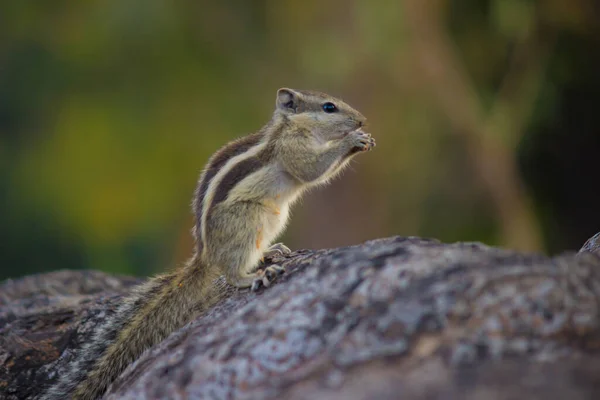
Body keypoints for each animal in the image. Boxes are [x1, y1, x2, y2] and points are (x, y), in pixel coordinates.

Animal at [39, 88, 376, 400]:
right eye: (329, 107)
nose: (362, 119)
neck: (290, 127)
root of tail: (206, 253)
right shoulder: (292, 149)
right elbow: (312, 170)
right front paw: (352, 140)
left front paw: (363, 138)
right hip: (248, 219)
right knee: (231, 271)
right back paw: (254, 277)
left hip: (272, 220)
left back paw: (271, 252)